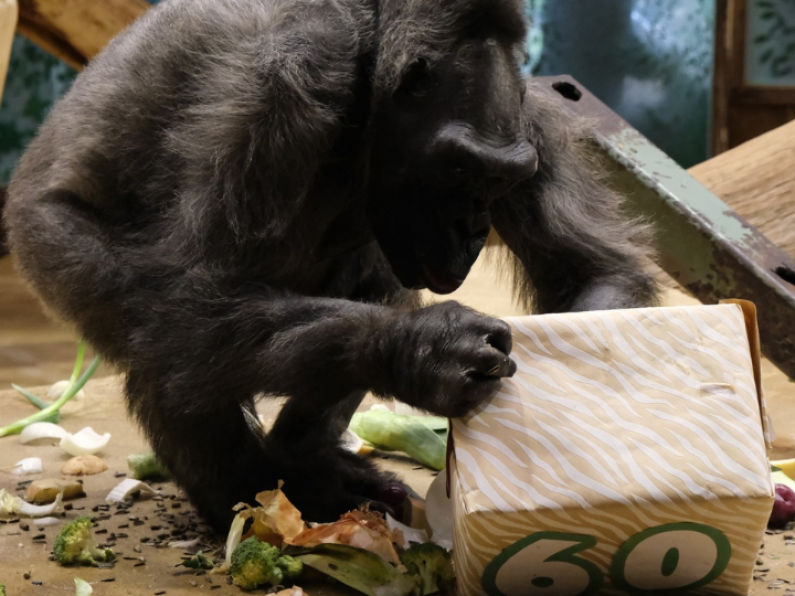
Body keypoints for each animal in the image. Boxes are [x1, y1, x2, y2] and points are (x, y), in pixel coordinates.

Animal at [3, 0, 656, 532]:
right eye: (460, 170)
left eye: (499, 180)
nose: (473, 228)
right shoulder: (282, 87)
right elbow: (194, 295)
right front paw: (424, 348)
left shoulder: (532, 123)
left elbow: (590, 271)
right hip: (50, 247)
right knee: (166, 339)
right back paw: (247, 497)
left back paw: (304, 457)